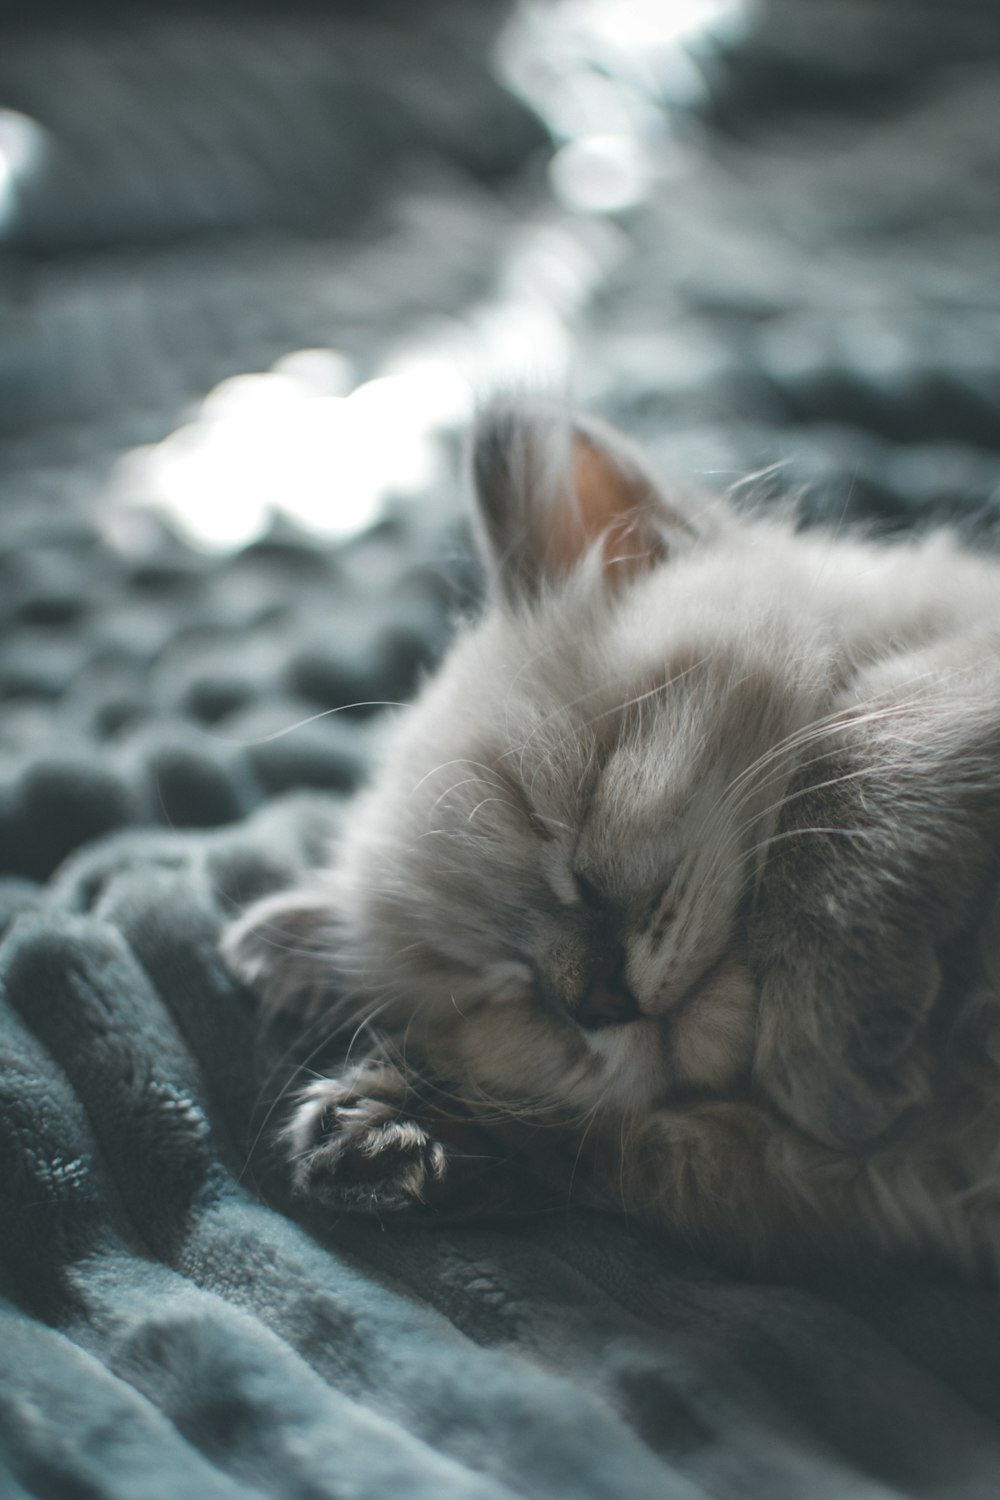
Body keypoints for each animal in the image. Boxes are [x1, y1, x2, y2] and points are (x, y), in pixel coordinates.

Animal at [223, 408, 1000, 1278]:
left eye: (574, 833)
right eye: (504, 987)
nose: (598, 1003)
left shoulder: (960, 661)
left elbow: (854, 761)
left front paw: (832, 1040)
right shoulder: (897, 1189)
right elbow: (643, 1155)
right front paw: (389, 1131)